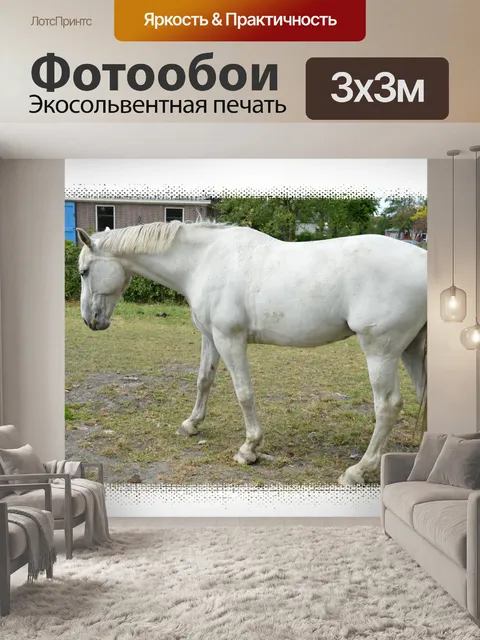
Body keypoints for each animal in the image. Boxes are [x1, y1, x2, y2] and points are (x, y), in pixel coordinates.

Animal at [76, 220, 427, 485]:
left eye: (84, 271)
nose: (90, 320)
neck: (203, 261)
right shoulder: (210, 337)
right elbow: (204, 380)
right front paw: (191, 424)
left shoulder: (230, 339)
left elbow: (243, 392)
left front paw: (249, 449)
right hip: (412, 350)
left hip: (381, 351)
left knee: (388, 407)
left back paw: (358, 470)